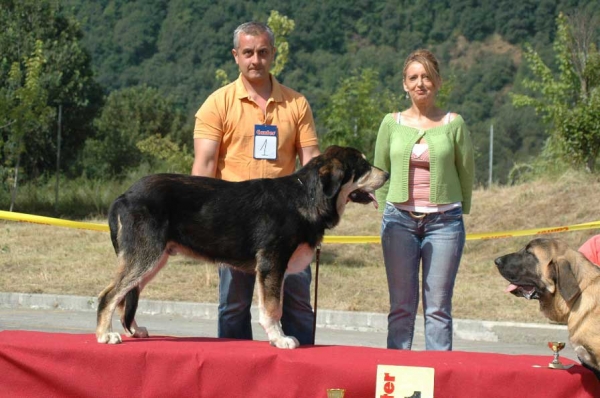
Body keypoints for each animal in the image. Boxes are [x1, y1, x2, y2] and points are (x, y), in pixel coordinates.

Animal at [96, 145, 390, 348]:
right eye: (363, 165)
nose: (387, 174)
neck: (305, 195)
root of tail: (124, 195)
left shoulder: (273, 269)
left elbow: (273, 305)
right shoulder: (272, 263)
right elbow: (273, 308)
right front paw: (280, 339)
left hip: (153, 260)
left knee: (126, 295)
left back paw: (133, 331)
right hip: (145, 255)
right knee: (109, 295)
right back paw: (104, 335)